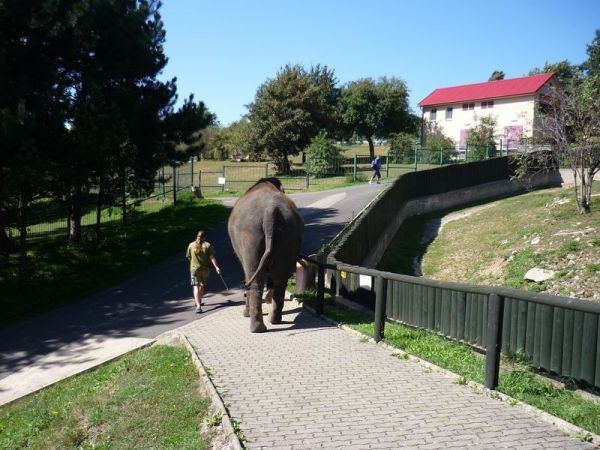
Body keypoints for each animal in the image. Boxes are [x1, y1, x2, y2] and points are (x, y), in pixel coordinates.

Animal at [229, 178, 304, 332]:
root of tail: (270, 212)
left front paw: (245, 314)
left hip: (250, 237)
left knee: (254, 280)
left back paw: (256, 328)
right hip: (288, 234)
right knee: (280, 280)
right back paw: (273, 321)